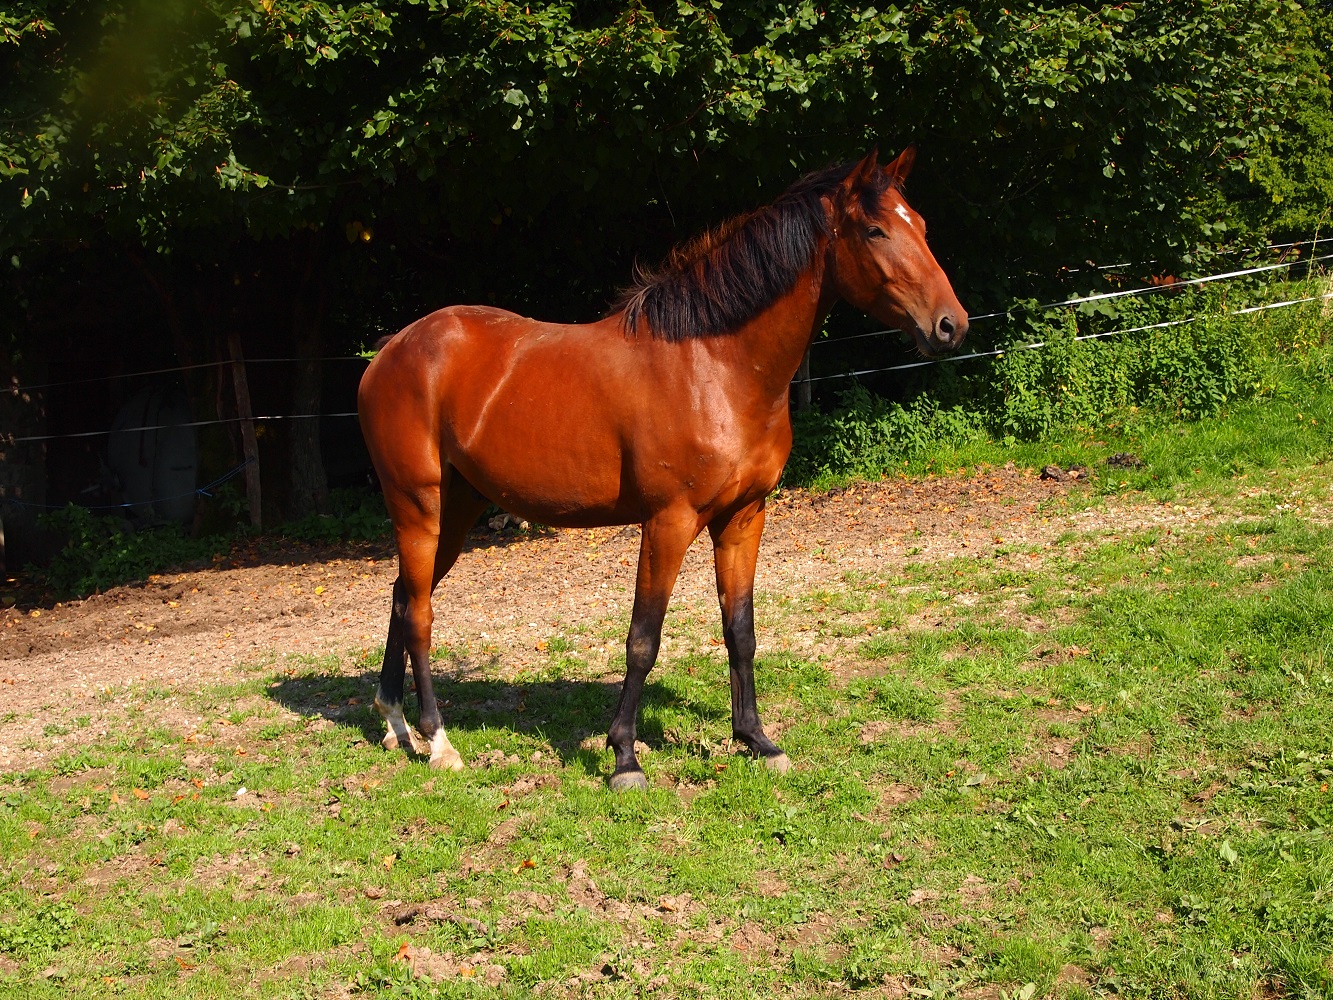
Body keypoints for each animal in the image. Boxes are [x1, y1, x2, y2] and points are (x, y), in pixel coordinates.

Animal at [357, 147, 968, 791]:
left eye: (921, 225)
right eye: (876, 230)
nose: (951, 325)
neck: (714, 364)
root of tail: (392, 348)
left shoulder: (743, 517)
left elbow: (740, 629)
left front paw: (756, 740)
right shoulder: (668, 522)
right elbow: (643, 639)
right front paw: (624, 757)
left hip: (457, 508)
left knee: (403, 597)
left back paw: (395, 726)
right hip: (418, 506)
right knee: (420, 613)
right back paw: (438, 741)